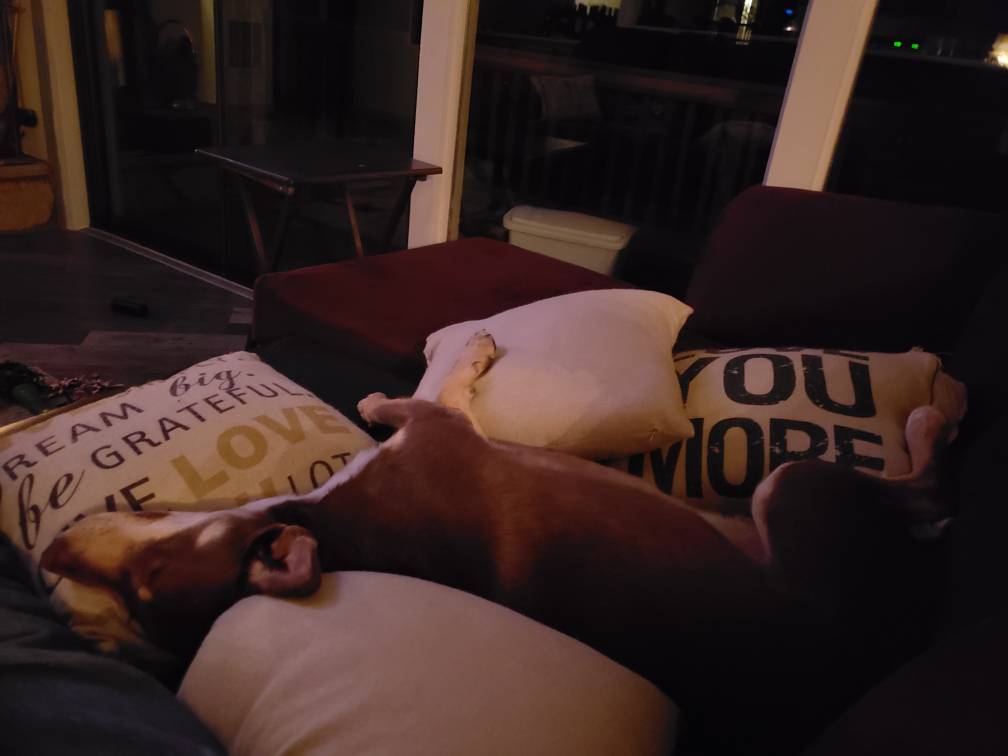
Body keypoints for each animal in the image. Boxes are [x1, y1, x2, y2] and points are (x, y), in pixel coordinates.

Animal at [40, 333, 947, 753]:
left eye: (151, 572)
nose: (48, 559)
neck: (332, 530)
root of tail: (897, 637)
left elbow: (399, 397)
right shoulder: (439, 429)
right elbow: (426, 391)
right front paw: (458, 355)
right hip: (795, 490)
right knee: (921, 488)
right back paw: (939, 414)